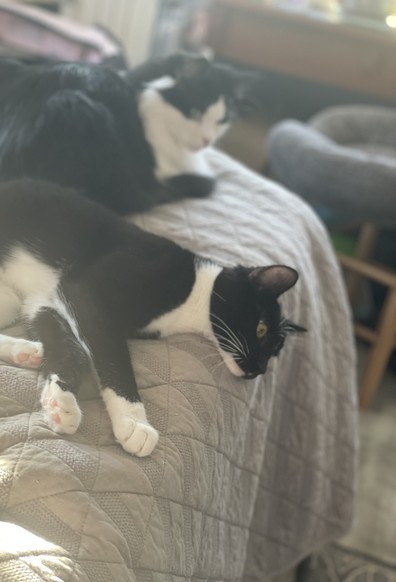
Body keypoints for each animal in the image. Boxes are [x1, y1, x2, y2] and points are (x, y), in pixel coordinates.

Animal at [0, 180, 306, 458]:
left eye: (275, 352)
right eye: (261, 329)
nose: (259, 370)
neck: (195, 295)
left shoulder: (46, 301)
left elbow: (68, 347)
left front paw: (58, 401)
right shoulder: (87, 290)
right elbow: (113, 357)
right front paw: (134, 422)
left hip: (14, 303)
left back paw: (26, 352)